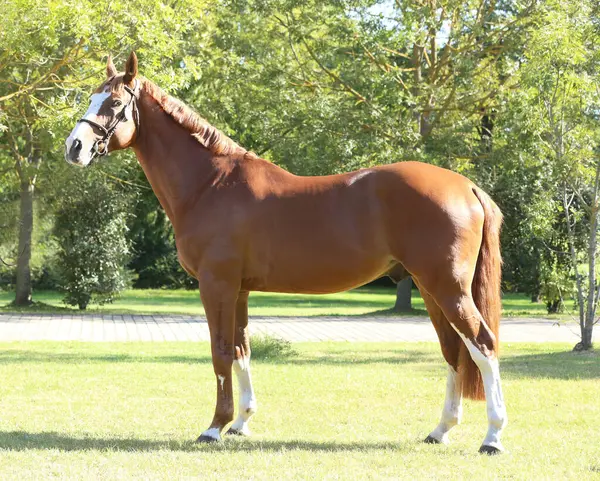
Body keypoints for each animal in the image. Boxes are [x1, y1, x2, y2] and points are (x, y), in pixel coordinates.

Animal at [64, 53, 506, 454]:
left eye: (114, 103)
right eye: (92, 97)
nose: (74, 147)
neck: (211, 184)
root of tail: (466, 186)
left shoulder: (216, 285)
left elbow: (219, 352)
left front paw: (214, 427)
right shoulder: (239, 290)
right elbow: (241, 350)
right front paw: (241, 422)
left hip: (448, 289)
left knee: (482, 345)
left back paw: (492, 437)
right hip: (431, 290)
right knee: (454, 351)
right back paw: (440, 430)